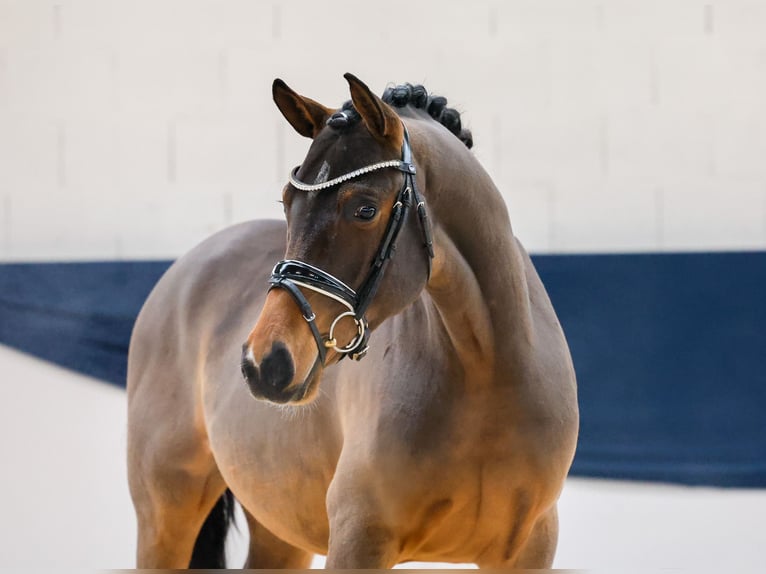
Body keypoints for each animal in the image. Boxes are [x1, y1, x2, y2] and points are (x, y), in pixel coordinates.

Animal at [129, 73, 580, 572]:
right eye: (287, 202)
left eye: (365, 209)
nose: (264, 362)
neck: (487, 370)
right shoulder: (358, 539)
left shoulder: (530, 549)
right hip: (165, 514)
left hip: (279, 530)